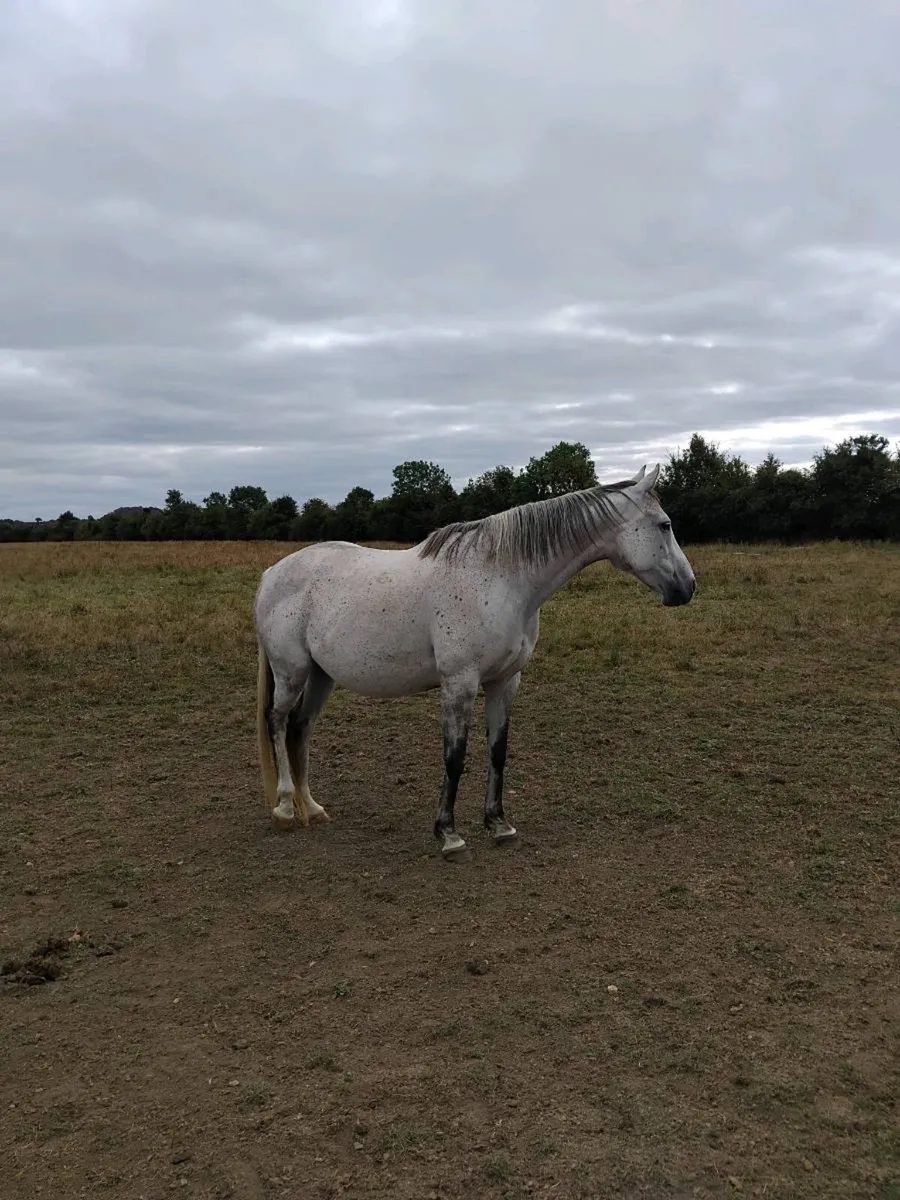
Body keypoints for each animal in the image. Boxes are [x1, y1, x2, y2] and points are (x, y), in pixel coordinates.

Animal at [254, 462, 696, 861]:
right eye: (665, 525)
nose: (688, 587)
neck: (502, 579)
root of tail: (271, 573)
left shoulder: (505, 681)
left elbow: (498, 751)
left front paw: (499, 825)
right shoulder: (459, 683)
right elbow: (455, 757)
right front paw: (449, 834)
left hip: (321, 676)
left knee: (300, 729)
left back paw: (312, 808)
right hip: (291, 673)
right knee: (277, 722)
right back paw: (285, 807)